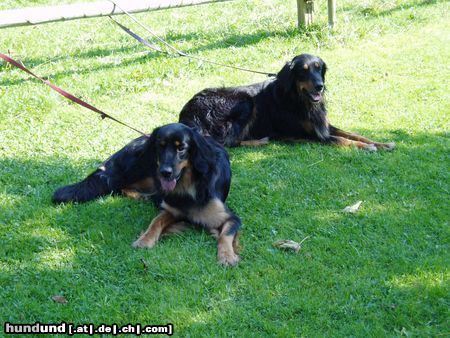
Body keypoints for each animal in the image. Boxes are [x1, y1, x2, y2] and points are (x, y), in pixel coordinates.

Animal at [52, 123, 241, 266]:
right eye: (160, 146)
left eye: (181, 148)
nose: (165, 172)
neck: (188, 186)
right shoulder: (170, 208)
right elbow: (156, 222)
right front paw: (145, 239)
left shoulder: (231, 217)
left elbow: (225, 235)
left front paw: (227, 256)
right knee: (116, 185)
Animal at [179, 52, 394, 151]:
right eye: (303, 71)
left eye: (319, 68)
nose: (320, 86)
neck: (298, 100)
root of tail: (187, 112)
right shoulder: (310, 134)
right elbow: (341, 139)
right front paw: (367, 147)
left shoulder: (323, 125)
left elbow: (354, 134)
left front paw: (381, 143)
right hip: (245, 102)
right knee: (225, 142)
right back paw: (260, 141)